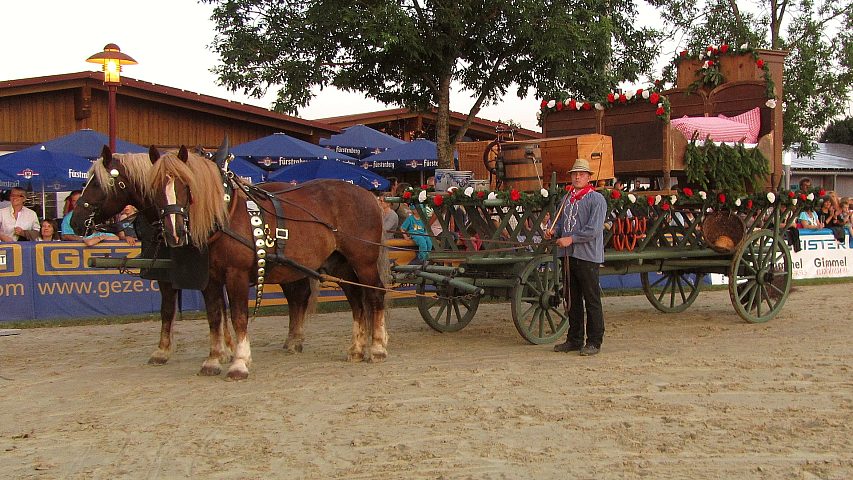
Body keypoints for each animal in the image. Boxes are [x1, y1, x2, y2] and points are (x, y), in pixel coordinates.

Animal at [151, 148, 392, 380]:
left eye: (186, 183)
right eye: (154, 188)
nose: (174, 232)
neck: (227, 213)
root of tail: (368, 195)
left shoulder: (236, 275)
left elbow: (239, 317)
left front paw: (239, 363)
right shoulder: (210, 279)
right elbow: (214, 317)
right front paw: (213, 360)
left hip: (364, 262)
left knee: (375, 295)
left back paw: (377, 348)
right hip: (341, 265)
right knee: (356, 300)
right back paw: (357, 349)